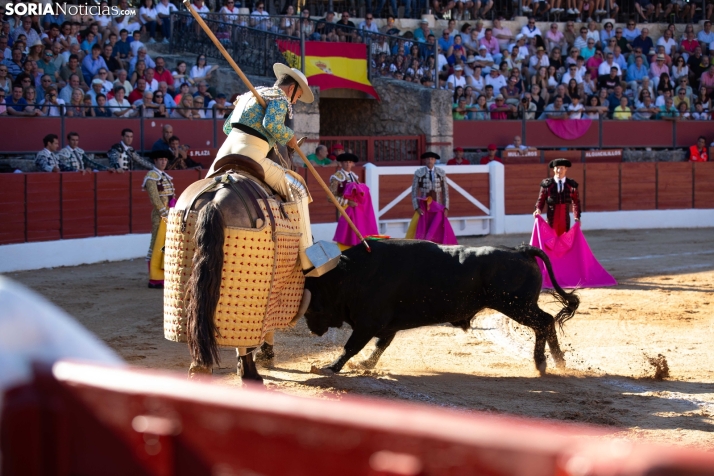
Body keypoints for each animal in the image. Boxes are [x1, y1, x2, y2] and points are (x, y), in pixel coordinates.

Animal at [304, 240, 576, 378]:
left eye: (311, 302)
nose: (310, 328)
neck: (352, 274)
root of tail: (521, 249)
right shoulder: (387, 324)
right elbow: (381, 345)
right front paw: (364, 365)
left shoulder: (368, 322)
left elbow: (351, 346)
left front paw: (330, 367)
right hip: (521, 306)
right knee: (547, 322)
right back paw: (559, 362)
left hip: (517, 306)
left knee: (544, 322)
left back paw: (542, 363)